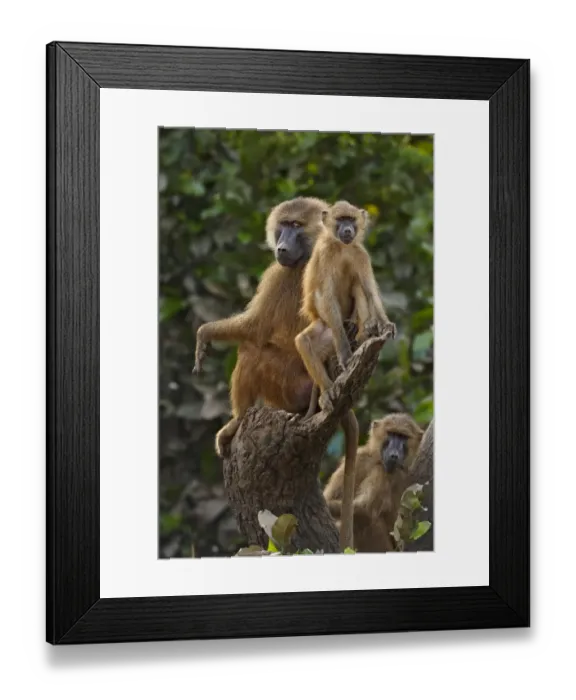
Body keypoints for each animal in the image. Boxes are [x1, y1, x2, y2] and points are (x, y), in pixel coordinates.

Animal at [294, 200, 396, 551]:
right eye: (340, 220)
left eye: (351, 219)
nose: (348, 230)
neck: (340, 248)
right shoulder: (325, 256)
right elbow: (325, 296)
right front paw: (344, 353)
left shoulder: (359, 255)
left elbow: (367, 288)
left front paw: (385, 324)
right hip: (322, 331)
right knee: (305, 340)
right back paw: (329, 390)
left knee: (356, 291)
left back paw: (367, 330)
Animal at [323, 413, 424, 553]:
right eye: (391, 433)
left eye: (403, 437)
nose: (394, 455)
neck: (377, 460)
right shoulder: (360, 458)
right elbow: (330, 497)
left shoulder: (387, 472)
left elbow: (365, 509)